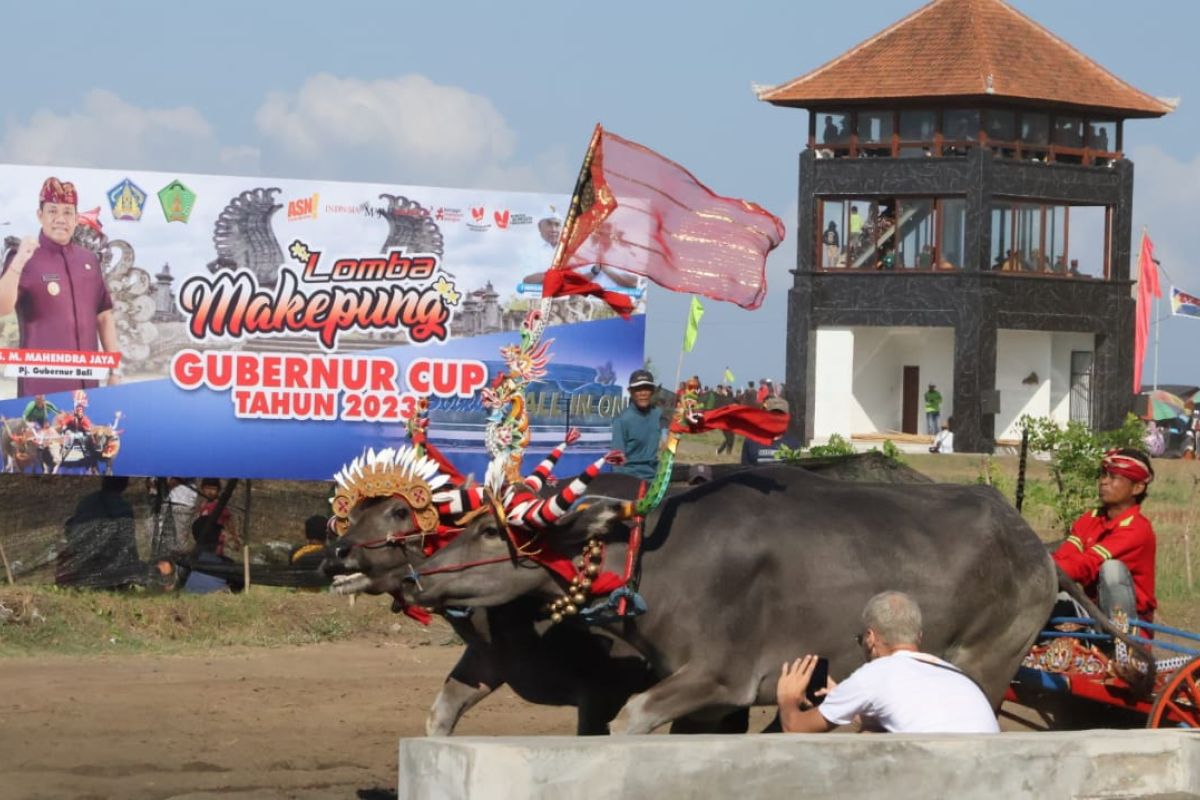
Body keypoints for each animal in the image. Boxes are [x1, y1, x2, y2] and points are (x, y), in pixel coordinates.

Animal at [405, 465, 1060, 734]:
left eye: (495, 533)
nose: (419, 575)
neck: (658, 560)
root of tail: (1033, 544)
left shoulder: (720, 679)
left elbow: (630, 720)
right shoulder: (707, 702)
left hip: (988, 668)